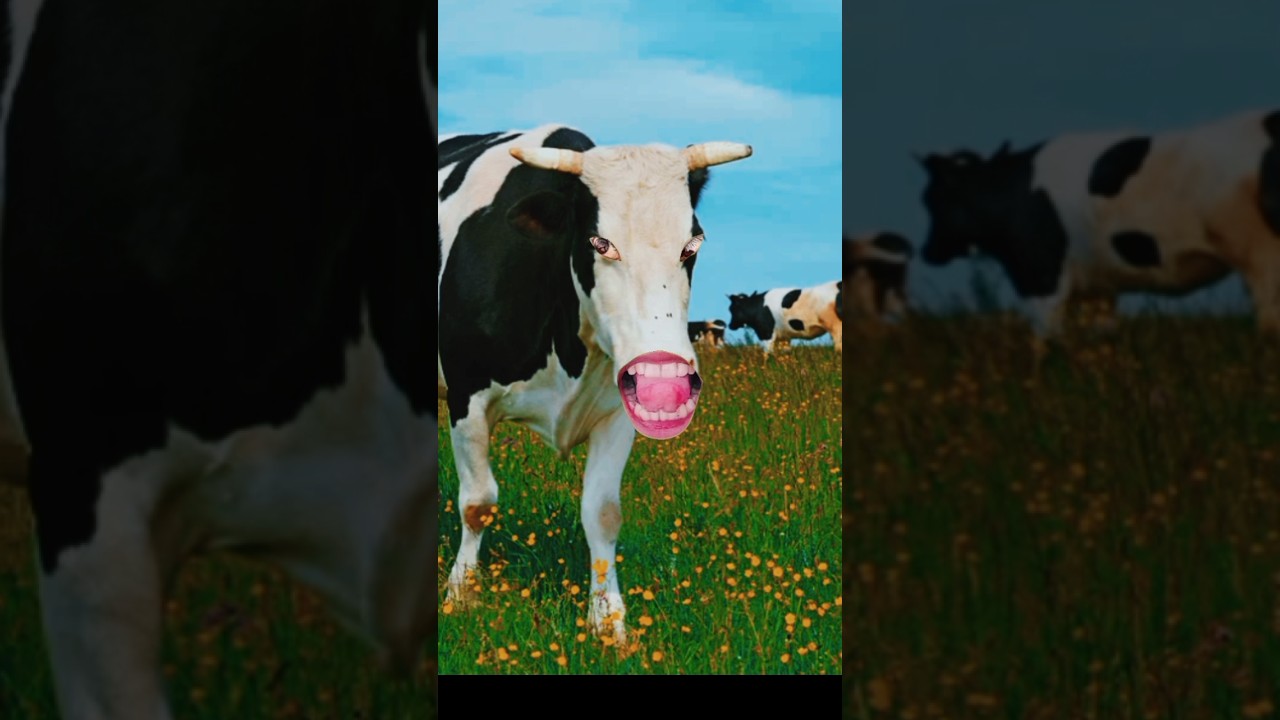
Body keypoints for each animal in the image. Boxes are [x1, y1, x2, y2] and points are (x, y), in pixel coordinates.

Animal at [437, 124, 752, 644]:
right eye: (599, 242)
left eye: (692, 244)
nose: (666, 382)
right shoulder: (467, 394)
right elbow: (477, 502)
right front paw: (460, 592)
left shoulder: (617, 411)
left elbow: (603, 513)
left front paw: (609, 619)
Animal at [916, 108, 1280, 344]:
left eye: (931, 197)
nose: (927, 251)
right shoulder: (1097, 289)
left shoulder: (1041, 277)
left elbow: (1046, 345)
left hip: (1261, 256)